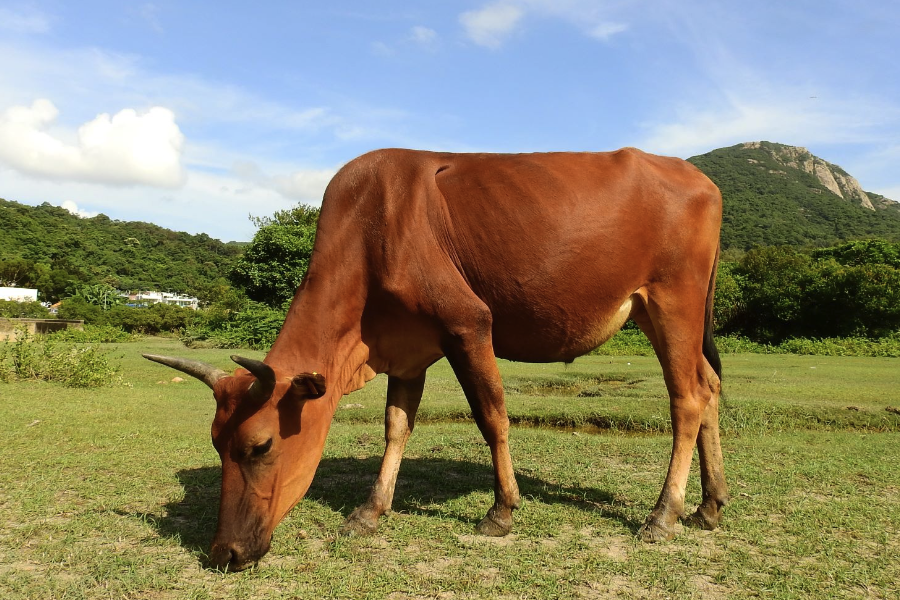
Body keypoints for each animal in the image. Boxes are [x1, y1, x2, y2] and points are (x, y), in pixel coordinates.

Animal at [144, 148, 728, 568]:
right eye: (216, 444)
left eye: (260, 445)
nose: (225, 552)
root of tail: (699, 177)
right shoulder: (406, 351)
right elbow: (396, 427)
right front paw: (371, 510)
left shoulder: (469, 324)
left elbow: (492, 417)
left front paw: (501, 511)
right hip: (659, 312)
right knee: (709, 386)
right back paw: (710, 504)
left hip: (673, 301)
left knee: (686, 397)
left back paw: (663, 514)